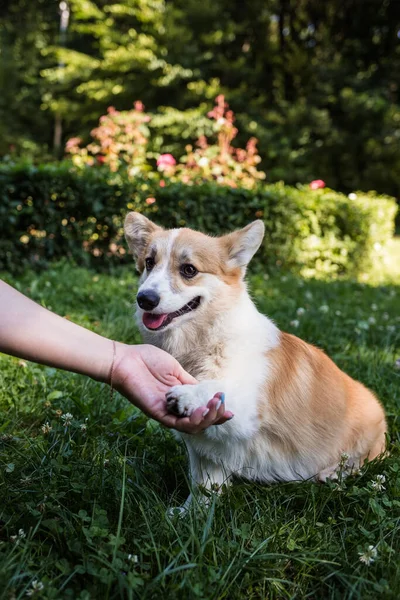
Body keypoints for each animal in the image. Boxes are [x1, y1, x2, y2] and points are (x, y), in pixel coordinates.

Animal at [123, 213, 386, 504]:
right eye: (149, 262)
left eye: (189, 270)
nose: (144, 299)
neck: (206, 341)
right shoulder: (204, 445)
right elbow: (203, 485)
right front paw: (189, 511)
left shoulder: (249, 412)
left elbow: (218, 388)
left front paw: (189, 395)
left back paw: (332, 474)